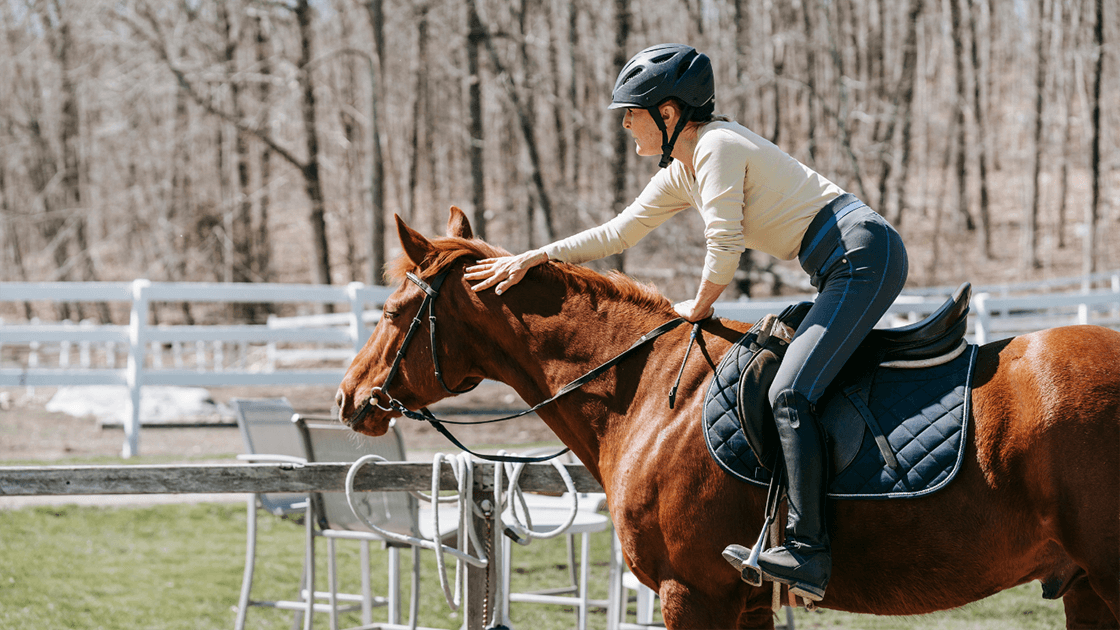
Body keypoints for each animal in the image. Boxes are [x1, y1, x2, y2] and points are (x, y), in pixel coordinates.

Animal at [338, 208, 1120, 623]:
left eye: (394, 311)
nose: (348, 398)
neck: (651, 392)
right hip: (1087, 589)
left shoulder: (693, 594)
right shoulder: (742, 602)